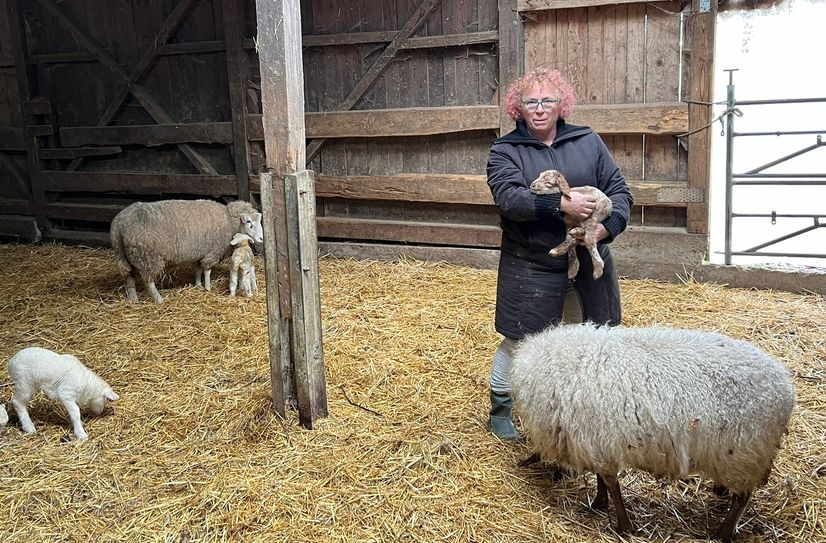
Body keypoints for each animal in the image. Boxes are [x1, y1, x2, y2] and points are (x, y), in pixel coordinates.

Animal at [110, 199, 263, 303]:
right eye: (249, 222)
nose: (261, 238)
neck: (229, 220)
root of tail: (118, 226)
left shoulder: (200, 252)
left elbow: (198, 269)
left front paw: (198, 284)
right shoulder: (212, 252)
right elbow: (207, 270)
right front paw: (208, 288)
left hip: (124, 257)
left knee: (128, 277)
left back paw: (133, 299)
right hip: (147, 257)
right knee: (149, 281)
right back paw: (159, 299)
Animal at [510, 323, 795, 542]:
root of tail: (785, 388)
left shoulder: (596, 438)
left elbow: (611, 482)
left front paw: (623, 525)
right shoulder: (599, 441)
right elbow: (603, 477)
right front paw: (600, 503)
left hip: (745, 453)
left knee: (743, 498)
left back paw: (722, 533)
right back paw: (720, 493)